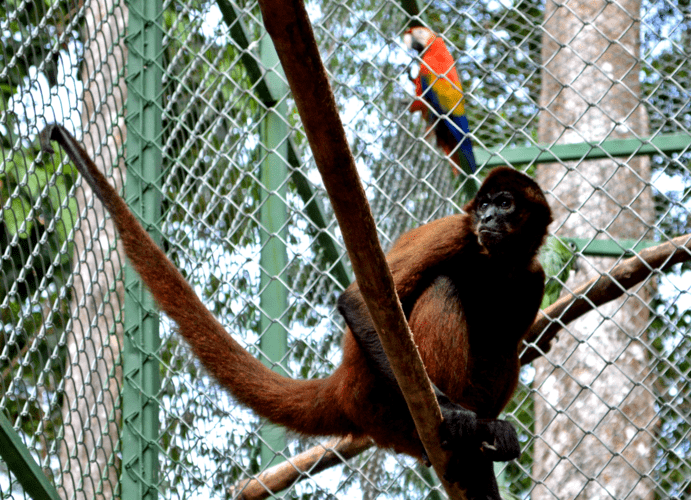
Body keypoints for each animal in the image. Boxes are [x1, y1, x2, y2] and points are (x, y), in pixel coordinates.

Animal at [42, 123, 552, 498]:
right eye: (483, 206)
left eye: (505, 204)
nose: (488, 218)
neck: (497, 261)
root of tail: (343, 382)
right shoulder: (457, 231)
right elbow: (355, 301)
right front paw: (457, 417)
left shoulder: (534, 275)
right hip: (379, 396)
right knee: (446, 289)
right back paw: (455, 429)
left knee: (501, 339)